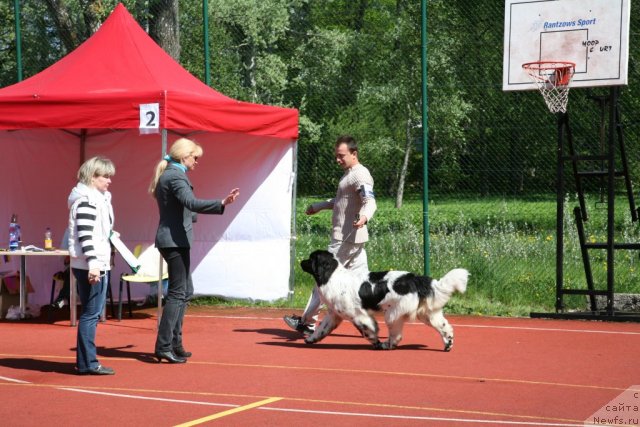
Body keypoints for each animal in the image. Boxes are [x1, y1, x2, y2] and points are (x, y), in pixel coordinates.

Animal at [300, 249, 470, 352]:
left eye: (311, 259)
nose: (300, 261)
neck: (332, 276)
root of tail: (416, 279)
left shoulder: (358, 315)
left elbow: (368, 330)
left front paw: (375, 341)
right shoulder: (334, 315)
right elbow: (321, 329)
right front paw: (311, 339)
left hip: (392, 314)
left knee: (396, 336)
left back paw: (386, 345)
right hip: (427, 313)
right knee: (446, 328)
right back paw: (448, 345)